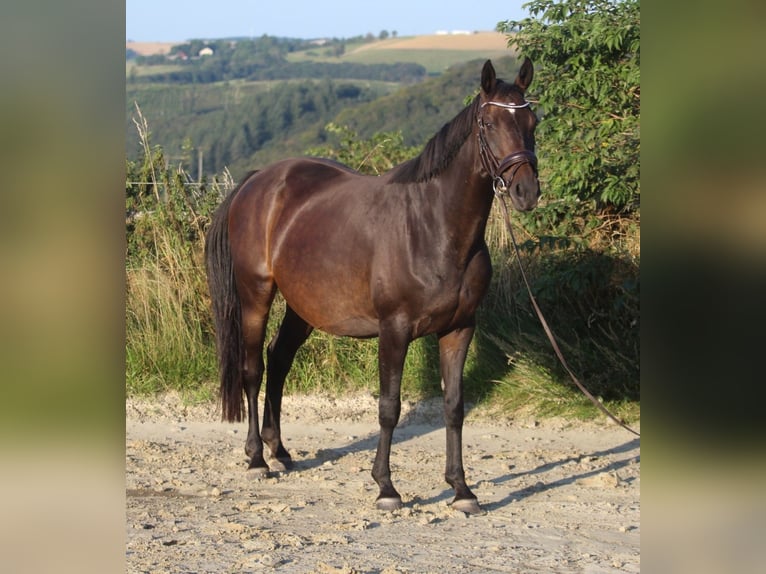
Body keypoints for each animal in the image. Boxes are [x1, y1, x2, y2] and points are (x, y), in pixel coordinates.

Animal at [204, 59, 540, 516]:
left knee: (279, 359)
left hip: (303, 306)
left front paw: (462, 490)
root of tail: (258, 182)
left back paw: (280, 450)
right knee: (253, 369)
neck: (434, 226)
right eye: (488, 123)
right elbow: (389, 407)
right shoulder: (393, 330)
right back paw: (257, 458)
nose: (527, 191)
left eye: (532, 121)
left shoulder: (460, 329)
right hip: (256, 294)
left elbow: (454, 407)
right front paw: (386, 487)